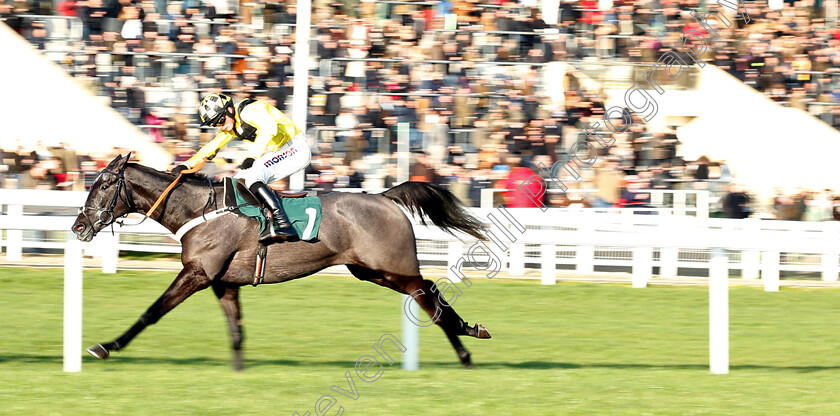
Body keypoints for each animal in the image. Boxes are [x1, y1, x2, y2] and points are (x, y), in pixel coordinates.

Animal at [74, 155, 492, 370]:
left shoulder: (197, 273)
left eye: (104, 184)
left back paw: (467, 344)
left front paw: (106, 346)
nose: (79, 226)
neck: (199, 210)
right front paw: (238, 369)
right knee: (429, 294)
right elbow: (236, 329)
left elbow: (151, 312)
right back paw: (469, 337)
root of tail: (385, 196)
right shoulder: (224, 281)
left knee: (428, 295)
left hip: (392, 266)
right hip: (371, 270)